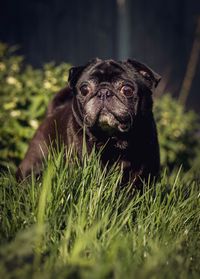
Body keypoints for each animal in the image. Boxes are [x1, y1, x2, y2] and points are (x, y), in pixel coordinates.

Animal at [16, 58, 162, 189]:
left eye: (127, 90)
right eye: (84, 89)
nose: (104, 92)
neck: (113, 139)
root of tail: (53, 111)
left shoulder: (143, 171)